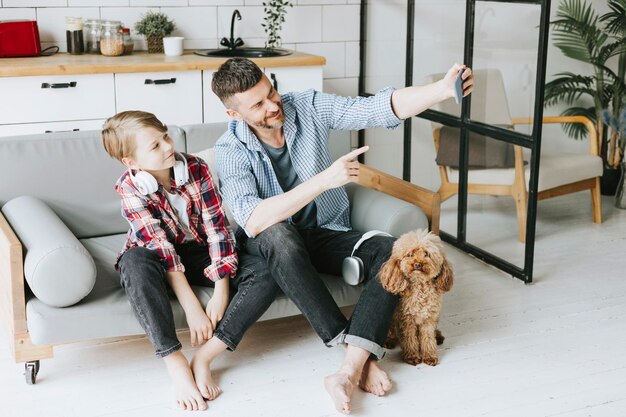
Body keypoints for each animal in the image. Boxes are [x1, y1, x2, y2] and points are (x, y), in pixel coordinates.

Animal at [378, 228, 450, 364]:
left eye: (427, 254)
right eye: (410, 254)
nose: (417, 264)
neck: (420, 287)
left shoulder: (428, 319)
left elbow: (427, 338)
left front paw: (429, 356)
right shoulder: (407, 319)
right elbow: (410, 339)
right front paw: (412, 356)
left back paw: (438, 336)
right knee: (391, 331)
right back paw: (389, 341)